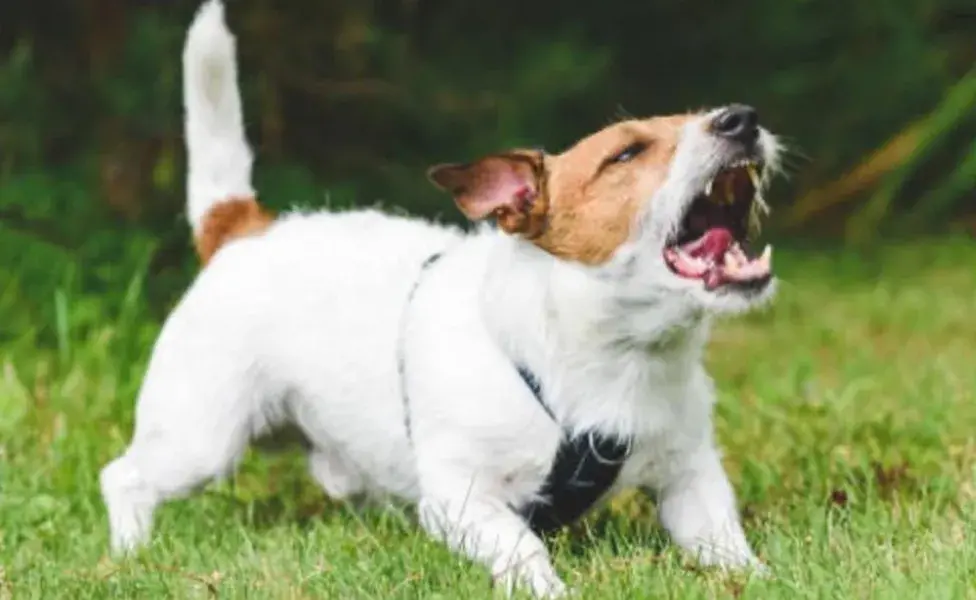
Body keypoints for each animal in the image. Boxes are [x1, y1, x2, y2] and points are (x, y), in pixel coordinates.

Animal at [99, 2, 784, 596]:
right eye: (626, 153)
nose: (742, 118)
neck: (617, 357)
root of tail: (243, 228)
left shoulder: (690, 477)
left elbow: (725, 542)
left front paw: (761, 578)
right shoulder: (463, 497)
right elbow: (521, 544)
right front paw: (545, 587)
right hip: (200, 439)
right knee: (123, 477)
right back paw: (132, 553)